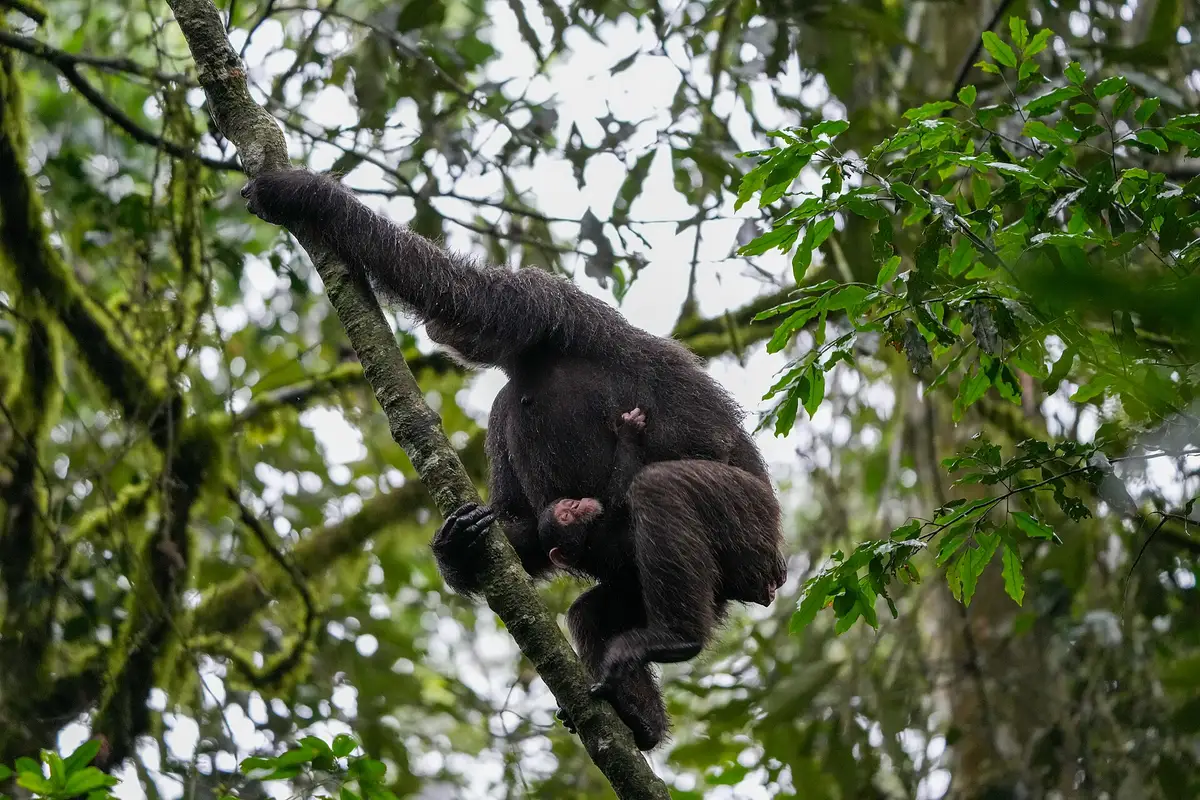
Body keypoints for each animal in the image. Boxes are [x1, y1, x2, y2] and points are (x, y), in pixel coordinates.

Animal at [240, 169, 788, 751]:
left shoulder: (538, 298)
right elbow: (516, 518)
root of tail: (768, 579)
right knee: (593, 612)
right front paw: (457, 544)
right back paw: (639, 720)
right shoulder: (501, 409)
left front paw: (301, 193)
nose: (433, 331)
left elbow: (455, 288)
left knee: (663, 490)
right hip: (666, 583)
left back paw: (673, 639)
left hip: (749, 525)